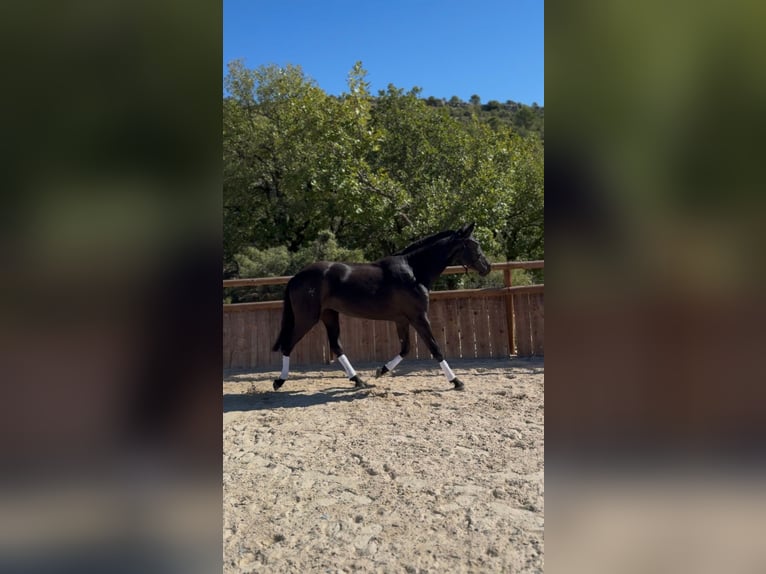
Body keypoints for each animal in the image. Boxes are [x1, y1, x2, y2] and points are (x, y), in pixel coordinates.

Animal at [271, 222, 491, 391]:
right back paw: (279, 381)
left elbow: (405, 349)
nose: (487, 267)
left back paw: (358, 380)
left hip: (329, 314)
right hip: (307, 317)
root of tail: (297, 277)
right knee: (288, 344)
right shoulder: (419, 317)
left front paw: (381, 370)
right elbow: (435, 348)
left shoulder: (402, 319)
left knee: (336, 345)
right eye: (474, 245)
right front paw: (456, 381)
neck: (414, 271)